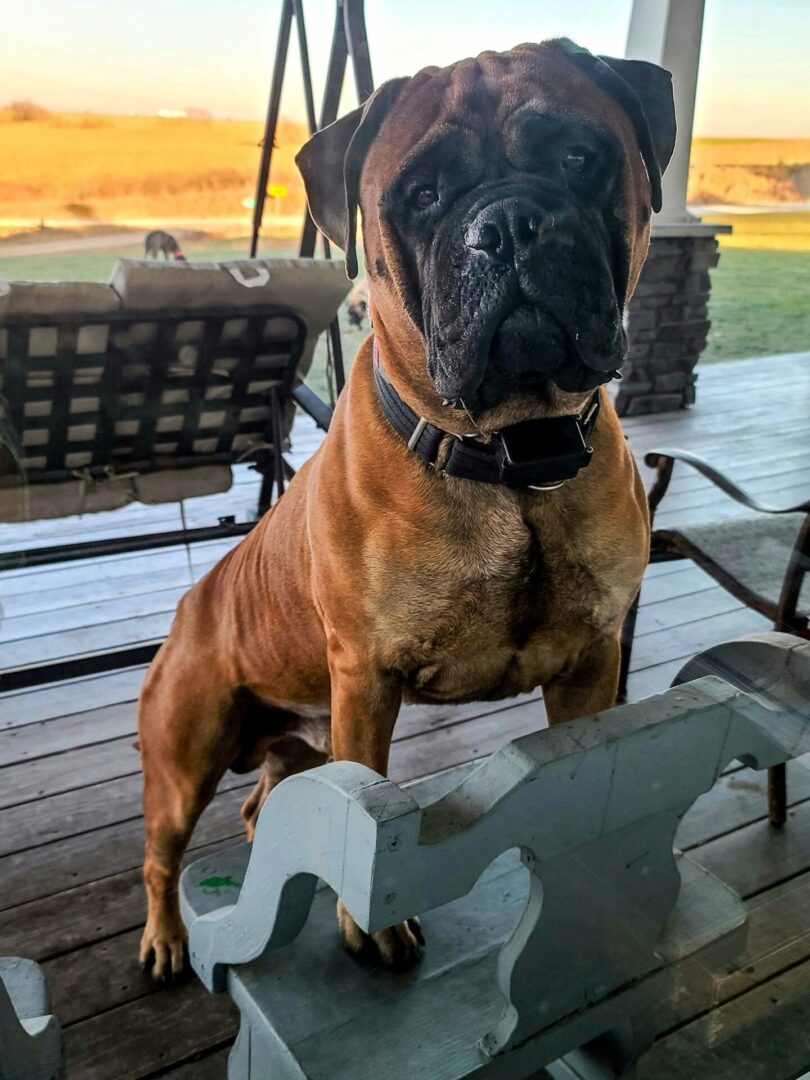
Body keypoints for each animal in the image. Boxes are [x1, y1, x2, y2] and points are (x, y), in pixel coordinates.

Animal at [141, 38, 678, 980]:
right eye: (422, 195)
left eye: (579, 158)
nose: (508, 224)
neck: (509, 456)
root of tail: (191, 606)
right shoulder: (366, 683)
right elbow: (365, 820)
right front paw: (373, 929)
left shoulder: (590, 664)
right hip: (185, 758)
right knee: (160, 857)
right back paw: (167, 937)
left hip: (293, 742)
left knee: (270, 802)